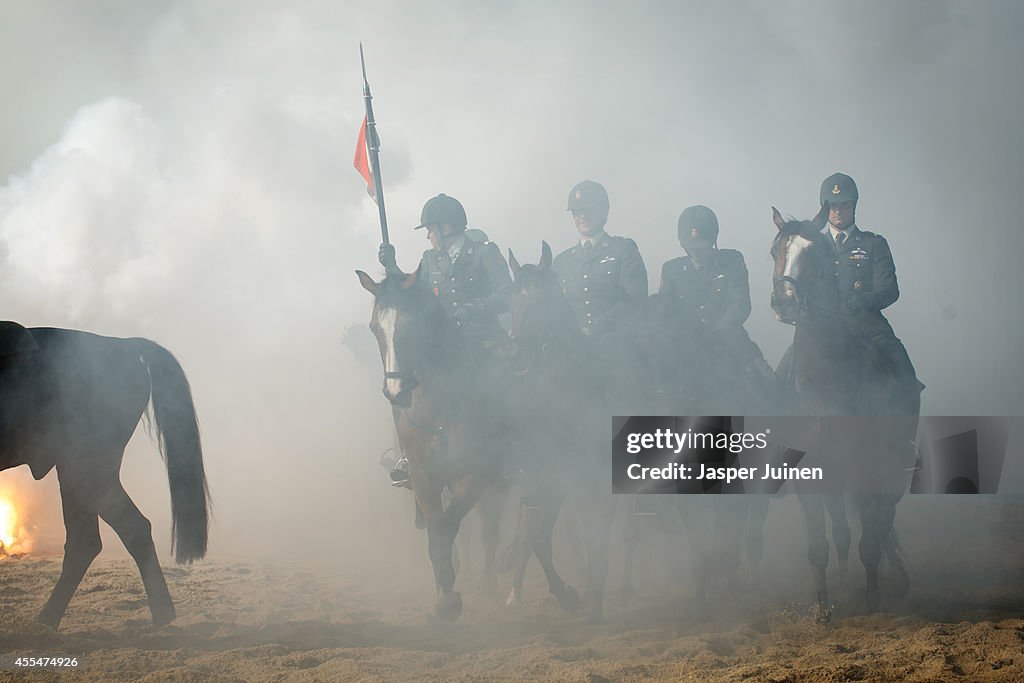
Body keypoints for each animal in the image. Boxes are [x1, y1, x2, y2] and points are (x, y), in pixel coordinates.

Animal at [356, 270, 507, 622]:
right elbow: (437, 532)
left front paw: (449, 599)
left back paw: (489, 579)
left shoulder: (474, 477)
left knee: (489, 525)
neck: (440, 408)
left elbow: (449, 525)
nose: (396, 391)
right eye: (374, 327)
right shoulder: (424, 478)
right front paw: (444, 593)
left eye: (412, 325)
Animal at [770, 205, 917, 622]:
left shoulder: (866, 468)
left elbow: (870, 539)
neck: (825, 383)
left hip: (889, 472)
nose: (783, 302)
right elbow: (821, 544)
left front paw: (872, 601)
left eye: (812, 254)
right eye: (775, 252)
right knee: (842, 532)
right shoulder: (809, 476)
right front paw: (824, 609)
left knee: (882, 523)